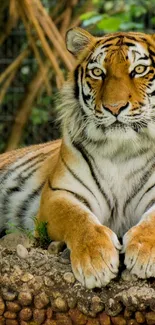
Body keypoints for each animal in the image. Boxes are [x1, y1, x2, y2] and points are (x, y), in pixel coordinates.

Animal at [1, 26, 155, 288]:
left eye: (139, 70)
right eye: (97, 72)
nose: (114, 107)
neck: (122, 149)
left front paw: (144, 252)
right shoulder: (58, 193)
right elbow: (78, 219)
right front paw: (96, 260)